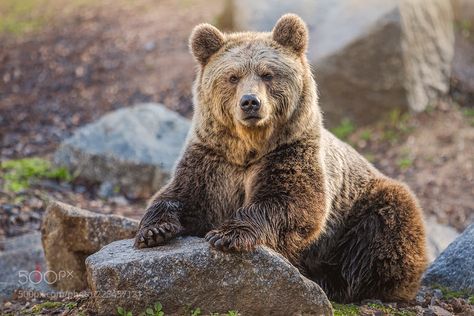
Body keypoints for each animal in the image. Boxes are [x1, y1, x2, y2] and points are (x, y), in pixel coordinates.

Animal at [135, 13, 428, 302]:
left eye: (267, 74)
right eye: (233, 76)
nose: (250, 102)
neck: (249, 146)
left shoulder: (288, 151)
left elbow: (291, 202)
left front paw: (226, 235)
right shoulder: (213, 159)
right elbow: (182, 196)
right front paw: (153, 231)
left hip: (363, 205)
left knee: (383, 230)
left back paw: (333, 279)